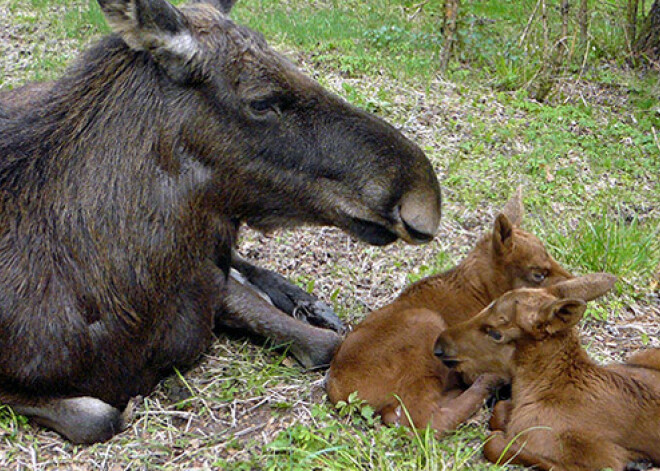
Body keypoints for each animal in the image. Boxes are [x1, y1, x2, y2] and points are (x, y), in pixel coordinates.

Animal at [326, 189, 572, 436]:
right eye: (538, 274)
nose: (571, 282)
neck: (481, 289)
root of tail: (339, 389)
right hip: (425, 330)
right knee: (425, 420)